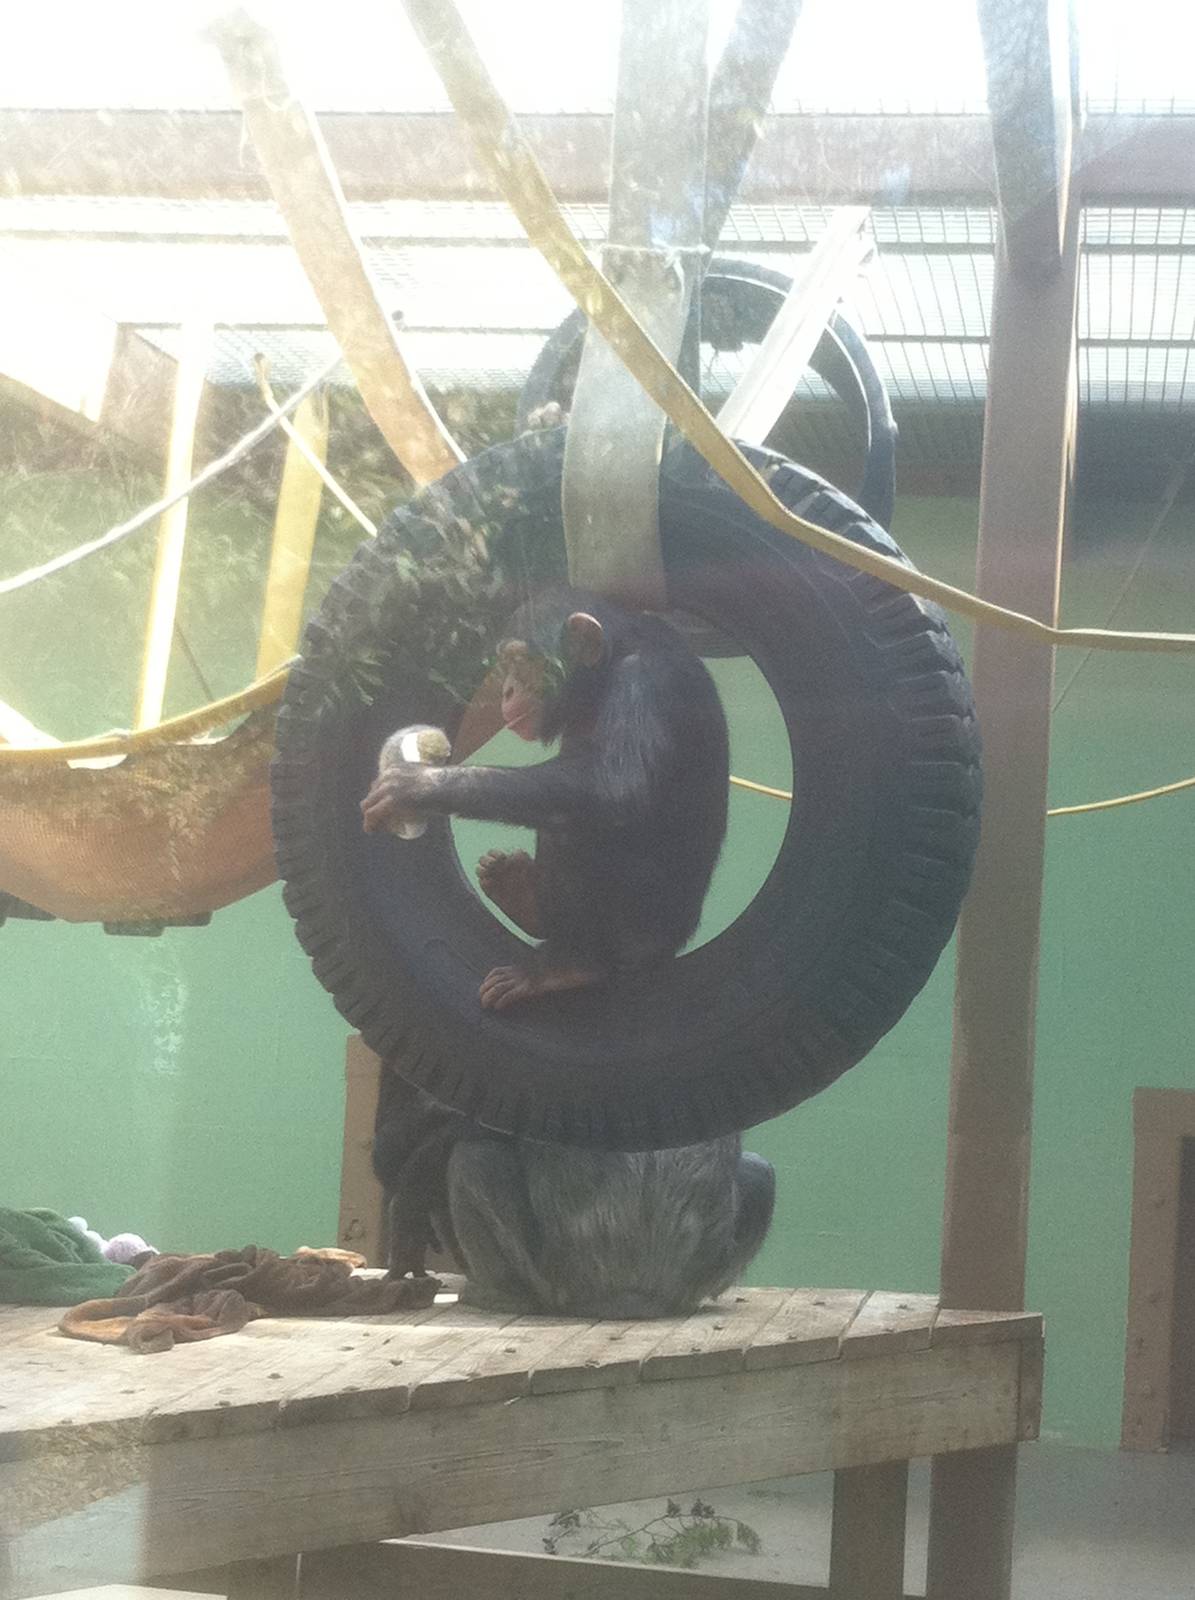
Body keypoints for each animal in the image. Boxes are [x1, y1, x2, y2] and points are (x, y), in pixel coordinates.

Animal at [361, 589, 730, 1012]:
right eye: (506, 665)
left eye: (522, 662)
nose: (506, 689)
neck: (607, 669)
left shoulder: (646, 682)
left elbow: (618, 789)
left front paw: (417, 786)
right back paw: (518, 891)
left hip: (645, 929)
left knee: (579, 829)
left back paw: (569, 967)